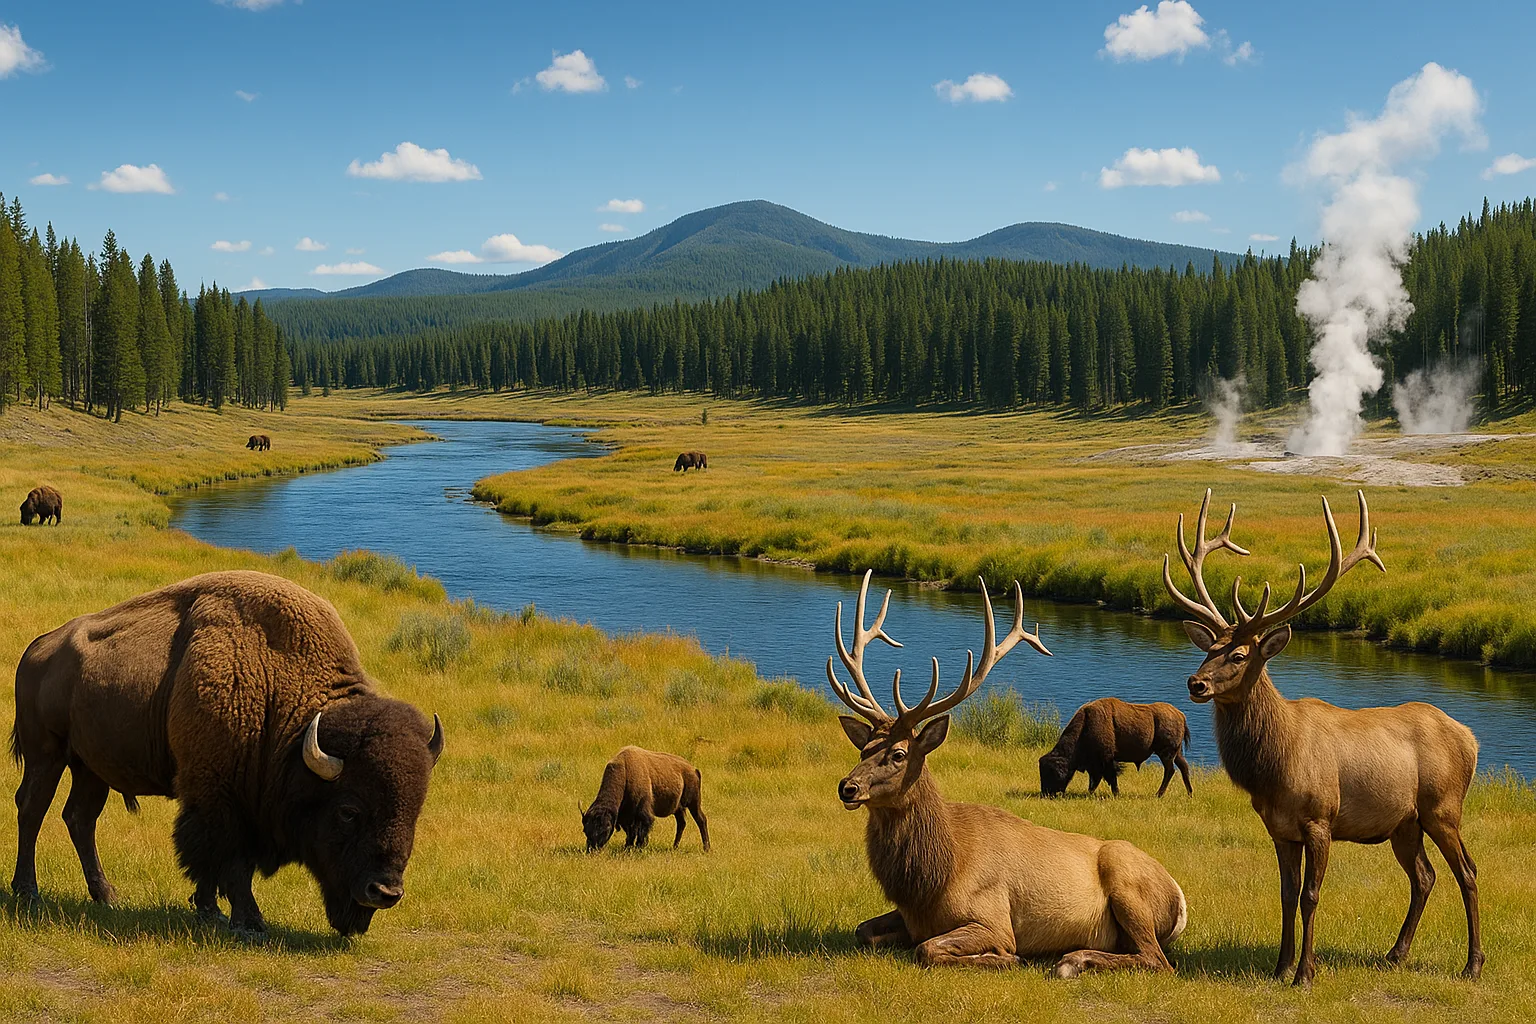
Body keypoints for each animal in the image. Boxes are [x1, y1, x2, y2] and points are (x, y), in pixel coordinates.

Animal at [830, 570, 1189, 978]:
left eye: (899, 753)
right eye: (864, 749)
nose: (847, 787)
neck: (929, 882)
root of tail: (1180, 901)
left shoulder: (993, 918)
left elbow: (929, 949)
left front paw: (1006, 958)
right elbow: (864, 931)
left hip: (1127, 883)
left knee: (1158, 960)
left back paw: (1071, 960)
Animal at [1163, 489, 1482, 985]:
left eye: (1238, 655)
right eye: (1208, 648)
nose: (1195, 684)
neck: (1273, 768)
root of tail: (1470, 739)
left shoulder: (1320, 818)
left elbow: (1311, 895)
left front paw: (1305, 974)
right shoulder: (1279, 828)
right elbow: (1285, 894)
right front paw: (1279, 968)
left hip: (1443, 807)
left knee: (1467, 872)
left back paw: (1472, 964)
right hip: (1405, 821)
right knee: (1424, 876)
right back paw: (1395, 954)